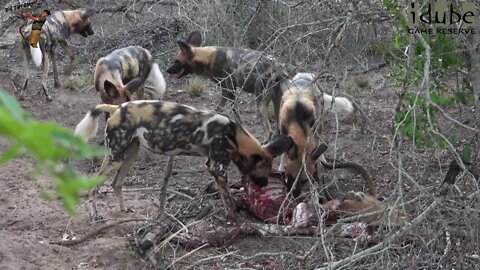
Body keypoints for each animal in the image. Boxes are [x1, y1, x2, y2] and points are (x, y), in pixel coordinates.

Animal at [73, 100, 290, 220]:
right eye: (262, 173)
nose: (265, 183)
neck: (234, 135)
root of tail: (117, 107)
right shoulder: (217, 168)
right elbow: (228, 201)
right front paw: (235, 221)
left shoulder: (213, 165)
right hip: (115, 157)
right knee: (93, 187)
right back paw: (95, 215)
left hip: (129, 155)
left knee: (116, 183)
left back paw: (124, 208)